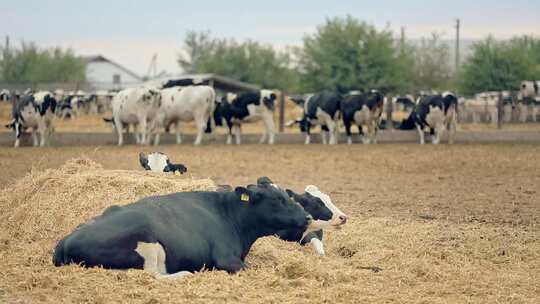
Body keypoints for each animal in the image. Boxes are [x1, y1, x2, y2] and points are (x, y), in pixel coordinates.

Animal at [51, 177, 324, 280]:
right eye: (277, 199)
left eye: (286, 195)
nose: (307, 217)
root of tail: (66, 239)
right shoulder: (226, 259)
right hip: (147, 241)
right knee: (152, 273)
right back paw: (183, 274)